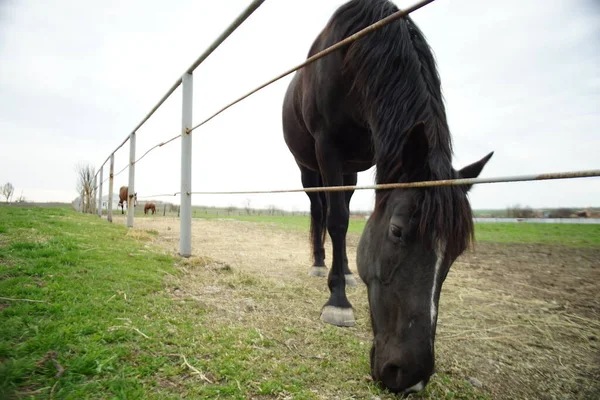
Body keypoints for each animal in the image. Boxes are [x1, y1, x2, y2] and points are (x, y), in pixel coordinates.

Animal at [282, 0, 492, 394]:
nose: (410, 377)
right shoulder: (327, 148)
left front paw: (343, 278)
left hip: (350, 170)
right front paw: (338, 302)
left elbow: (345, 220)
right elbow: (336, 220)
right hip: (309, 166)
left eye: (456, 252)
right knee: (320, 211)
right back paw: (320, 264)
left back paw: (345, 270)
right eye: (397, 231)